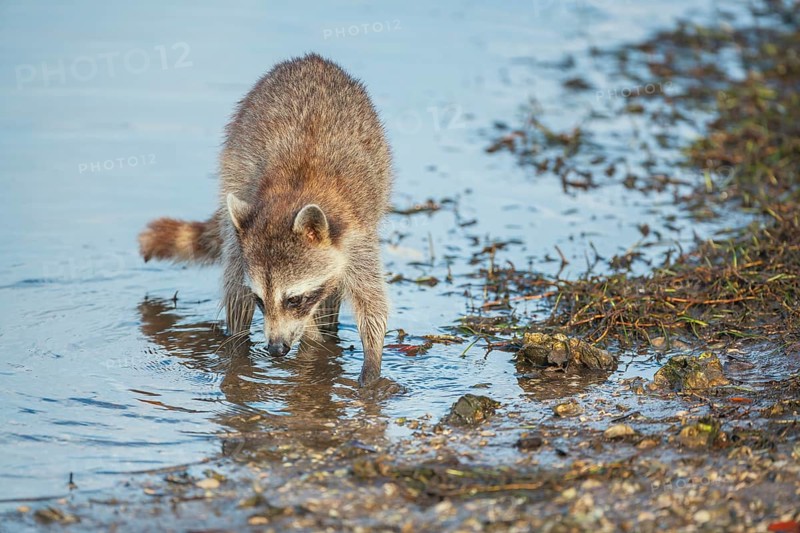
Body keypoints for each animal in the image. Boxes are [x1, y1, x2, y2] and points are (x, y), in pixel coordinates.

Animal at [138, 54, 392, 386]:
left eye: (294, 300)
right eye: (260, 300)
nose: (275, 349)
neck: (298, 190)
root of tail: (311, 59)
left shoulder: (357, 236)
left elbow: (371, 302)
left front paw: (371, 364)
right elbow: (242, 293)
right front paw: (310, 342)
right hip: (234, 168)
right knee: (234, 280)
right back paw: (238, 350)